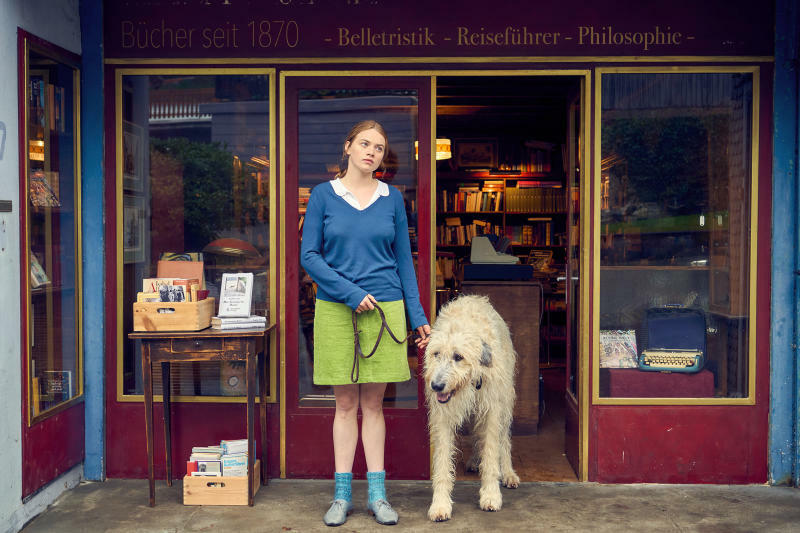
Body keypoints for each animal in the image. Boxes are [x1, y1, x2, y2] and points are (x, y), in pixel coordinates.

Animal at [424, 290, 520, 520]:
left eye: (458, 357)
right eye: (436, 354)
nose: (436, 386)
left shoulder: (493, 409)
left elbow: (492, 450)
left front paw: (491, 495)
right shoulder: (442, 417)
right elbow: (443, 459)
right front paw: (440, 504)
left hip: (505, 401)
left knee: (503, 438)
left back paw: (508, 473)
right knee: (477, 433)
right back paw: (476, 460)